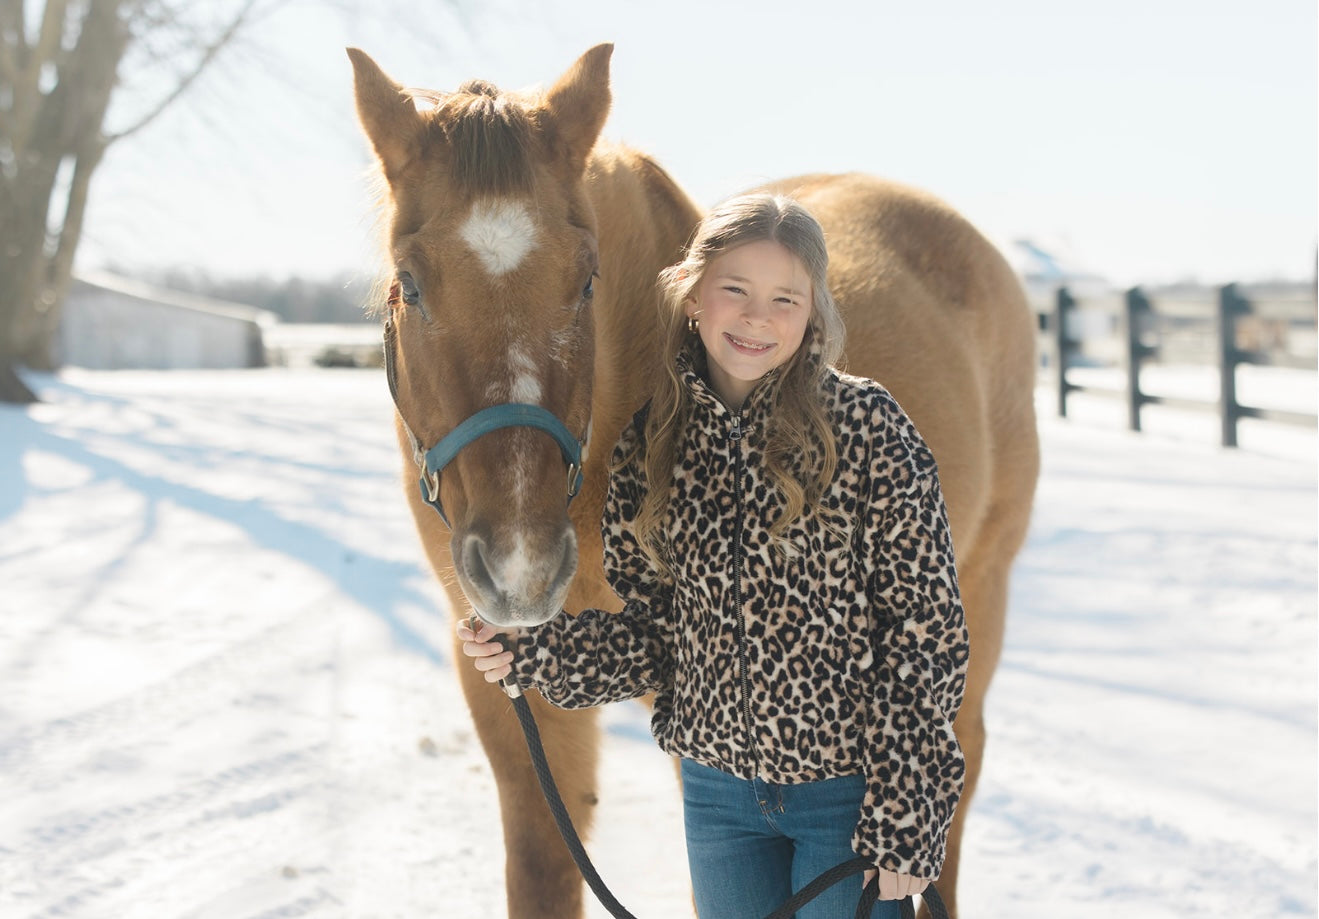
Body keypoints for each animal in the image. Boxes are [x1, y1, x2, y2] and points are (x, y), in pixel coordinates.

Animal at [350, 42, 1039, 917]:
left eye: (586, 279)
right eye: (409, 280)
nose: (520, 570)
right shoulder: (509, 693)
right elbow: (543, 864)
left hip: (979, 584)